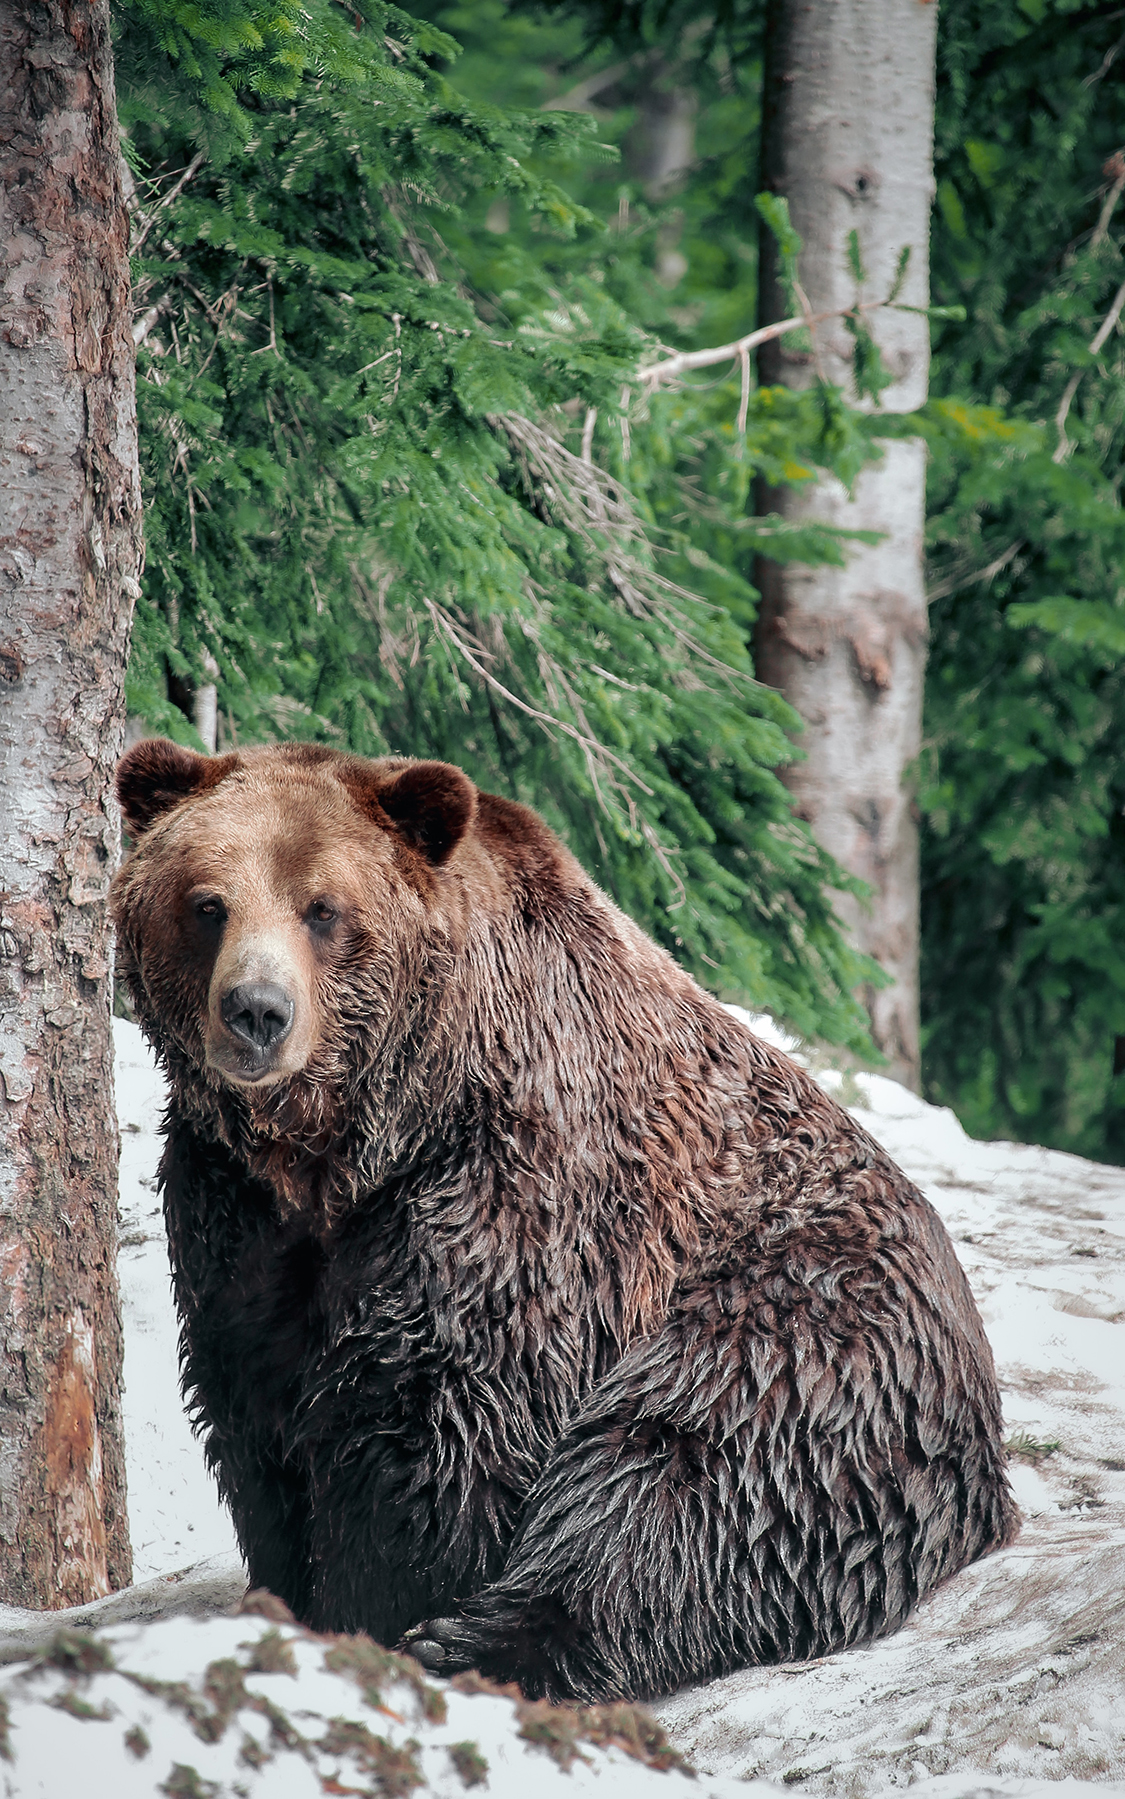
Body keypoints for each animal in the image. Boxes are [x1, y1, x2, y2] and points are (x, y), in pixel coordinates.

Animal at [110, 737, 1019, 1704]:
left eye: (324, 908)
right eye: (207, 903)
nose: (256, 1011)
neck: (348, 1149)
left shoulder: (503, 1188)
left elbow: (439, 1424)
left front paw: (382, 1609)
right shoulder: (232, 1215)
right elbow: (255, 1413)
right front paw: (288, 1592)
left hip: (802, 1314)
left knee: (684, 1465)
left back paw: (481, 1638)